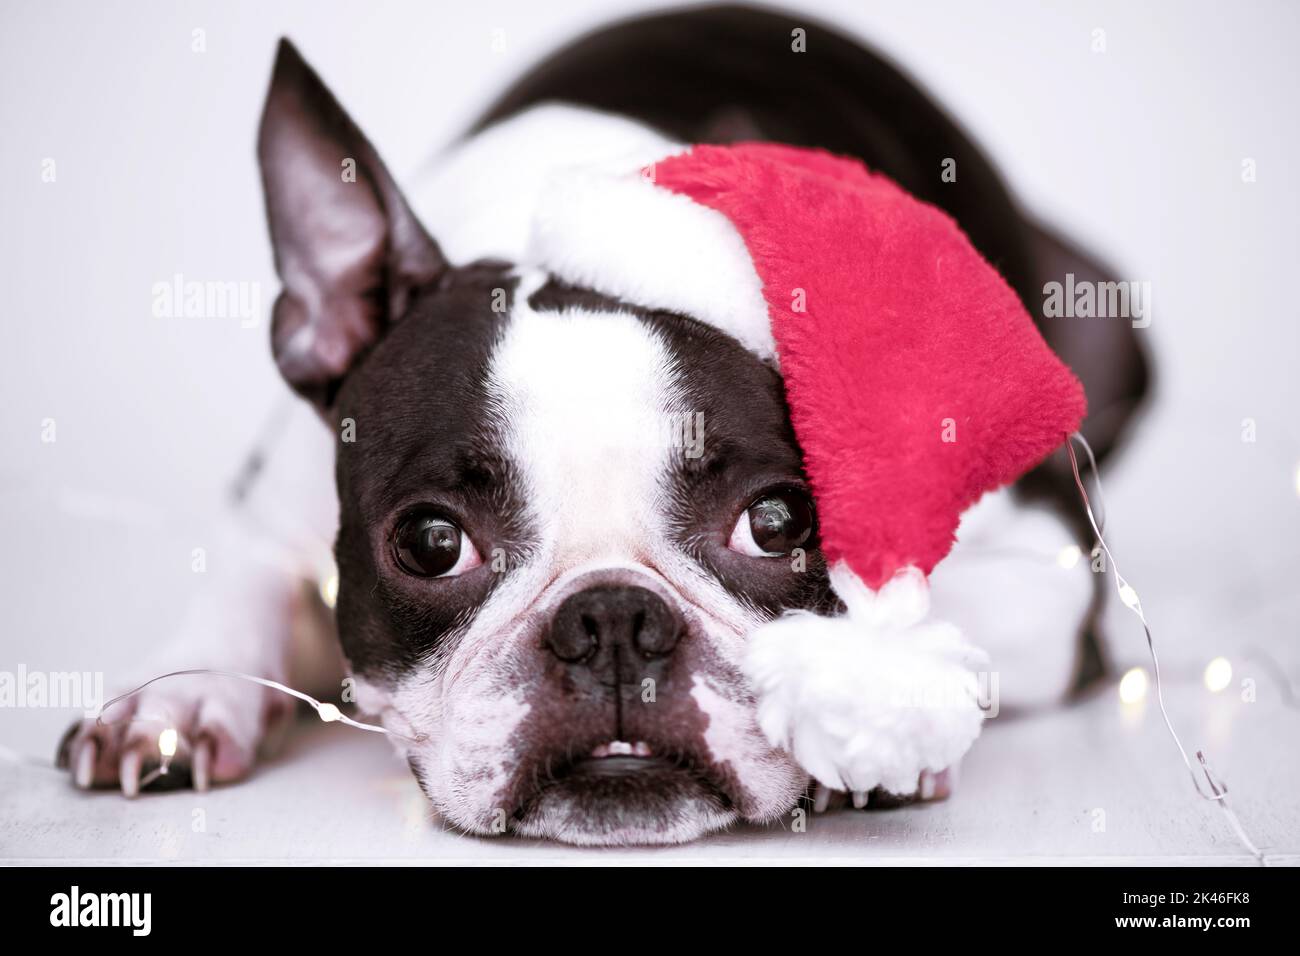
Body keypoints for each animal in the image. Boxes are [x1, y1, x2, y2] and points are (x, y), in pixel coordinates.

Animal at [58, 5, 1149, 842]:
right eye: (431, 542)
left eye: (778, 524)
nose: (614, 618)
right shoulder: (272, 501)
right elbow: (239, 588)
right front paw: (175, 698)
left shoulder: (1048, 560)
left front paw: (868, 709)